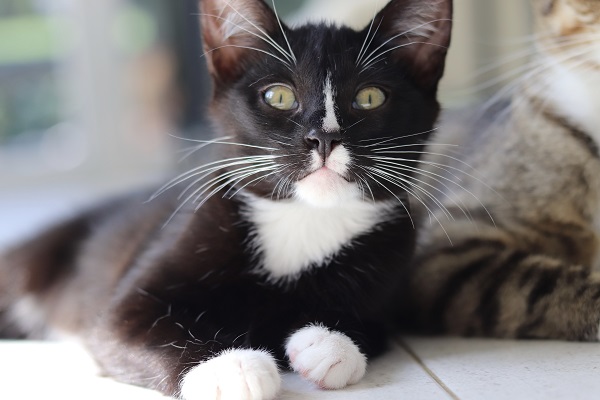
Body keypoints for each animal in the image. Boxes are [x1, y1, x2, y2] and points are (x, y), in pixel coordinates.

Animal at [0, 0, 450, 400]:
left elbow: (374, 325)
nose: (324, 138)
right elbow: (125, 323)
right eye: (279, 96)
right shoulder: (139, 286)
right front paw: (229, 367)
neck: (304, 217)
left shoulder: (391, 262)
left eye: (370, 97)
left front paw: (331, 346)